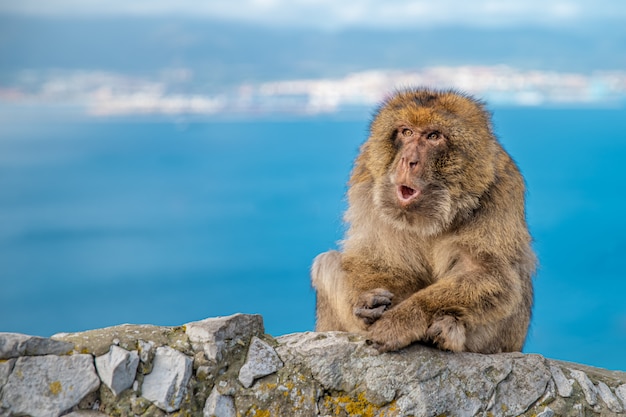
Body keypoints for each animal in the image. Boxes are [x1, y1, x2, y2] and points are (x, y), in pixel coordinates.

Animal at [310, 88, 532, 354]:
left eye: (433, 136)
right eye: (406, 132)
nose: (408, 160)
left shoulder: (499, 189)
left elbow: (489, 273)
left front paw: (404, 319)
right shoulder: (365, 180)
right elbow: (376, 259)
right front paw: (368, 304)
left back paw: (448, 331)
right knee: (327, 262)